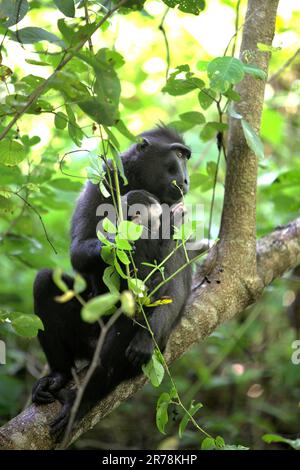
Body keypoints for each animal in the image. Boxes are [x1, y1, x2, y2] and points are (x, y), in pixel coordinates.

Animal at [32, 125, 192, 436]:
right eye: (178, 155)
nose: (187, 178)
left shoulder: (176, 212)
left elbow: (173, 278)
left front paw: (145, 338)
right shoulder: (102, 179)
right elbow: (78, 250)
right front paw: (120, 238)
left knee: (125, 328)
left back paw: (81, 401)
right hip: (84, 333)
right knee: (45, 282)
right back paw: (57, 376)